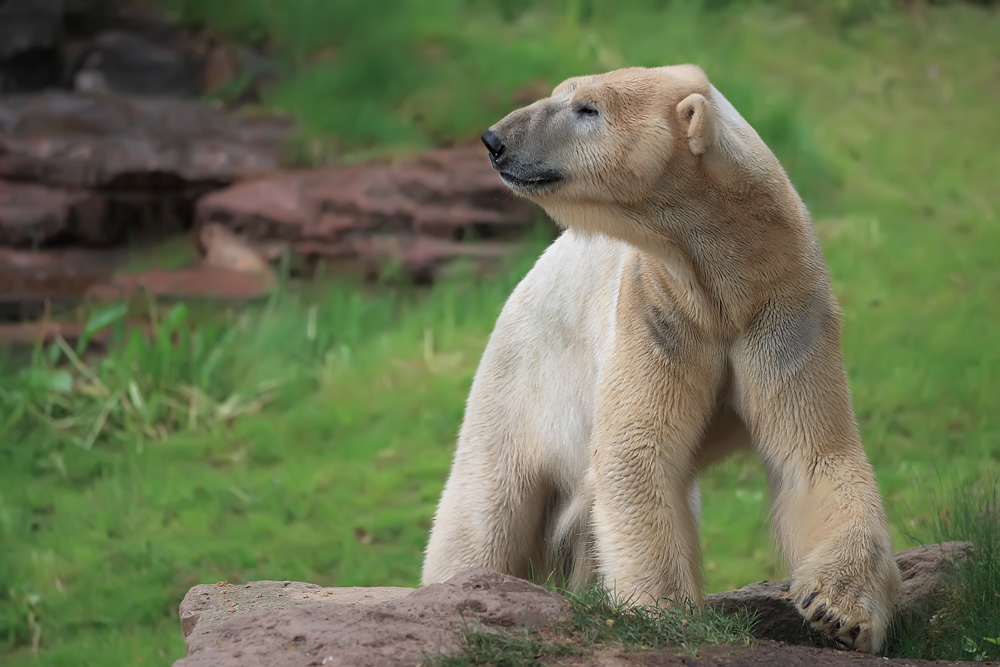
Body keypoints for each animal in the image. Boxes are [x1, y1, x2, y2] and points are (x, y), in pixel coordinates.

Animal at [420, 66, 900, 652]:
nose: (495, 140)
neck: (728, 274)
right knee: (483, 513)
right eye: (562, 93)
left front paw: (838, 610)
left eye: (587, 108)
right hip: (519, 387)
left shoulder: (785, 308)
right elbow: (637, 453)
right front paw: (668, 612)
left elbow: (814, 452)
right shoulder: (657, 309)